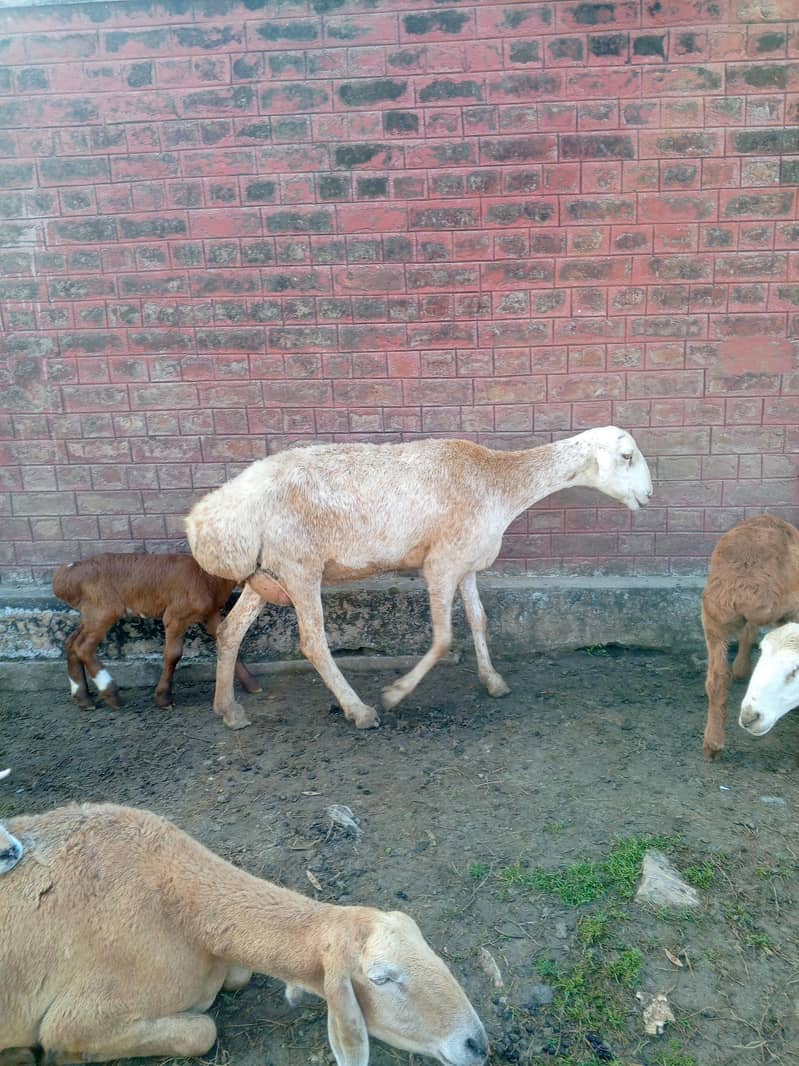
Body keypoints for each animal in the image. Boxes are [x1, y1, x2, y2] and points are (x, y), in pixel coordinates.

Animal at [52, 553, 261, 712]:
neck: (207, 576)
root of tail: (67, 572)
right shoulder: (175, 615)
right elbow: (173, 654)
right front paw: (163, 698)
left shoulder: (210, 613)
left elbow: (227, 639)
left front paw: (251, 685)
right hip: (102, 609)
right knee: (83, 646)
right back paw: (110, 693)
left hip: (90, 614)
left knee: (71, 642)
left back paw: (83, 697)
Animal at [186, 427, 653, 729]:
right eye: (627, 456)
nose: (648, 495)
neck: (501, 483)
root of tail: (208, 518)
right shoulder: (440, 563)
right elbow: (444, 638)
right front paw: (395, 693)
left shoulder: (466, 562)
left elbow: (480, 620)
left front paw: (493, 681)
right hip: (300, 566)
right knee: (313, 643)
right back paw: (360, 711)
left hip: (266, 574)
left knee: (229, 631)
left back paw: (229, 710)